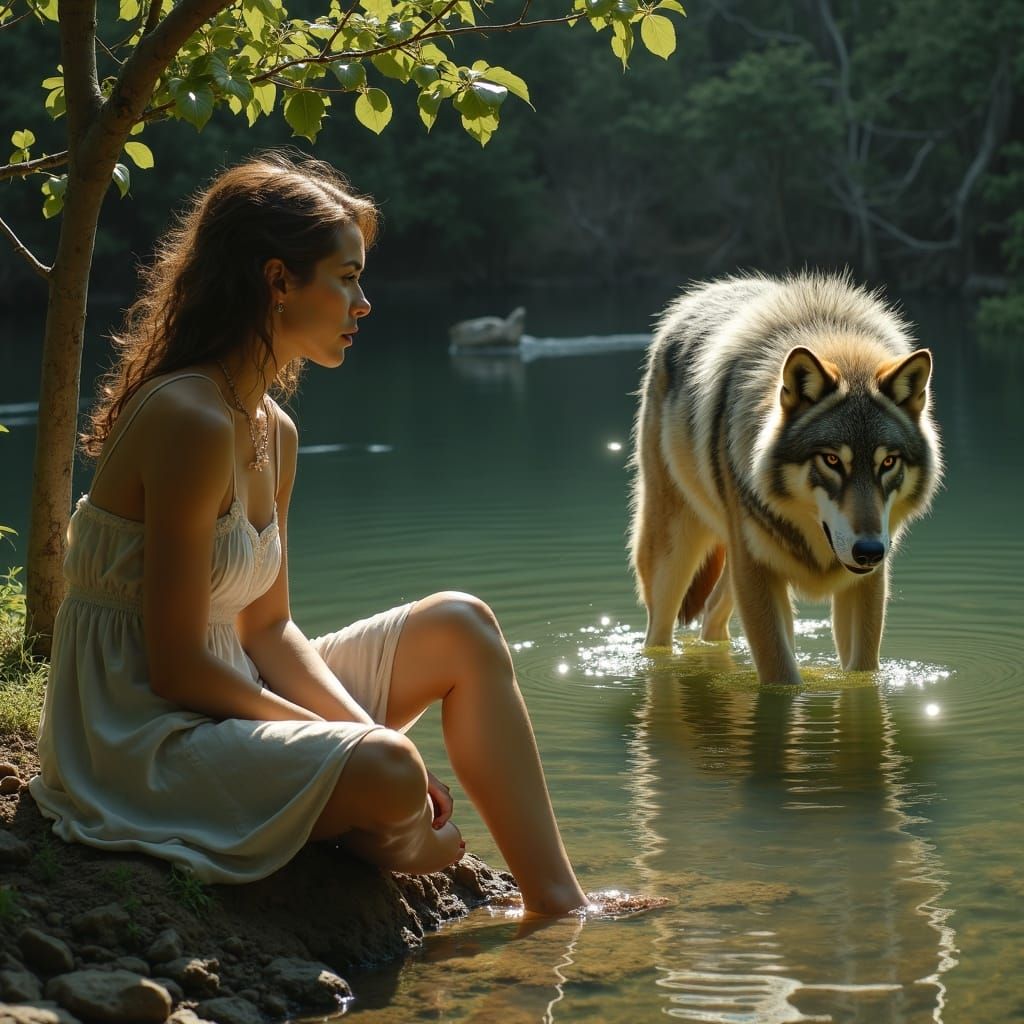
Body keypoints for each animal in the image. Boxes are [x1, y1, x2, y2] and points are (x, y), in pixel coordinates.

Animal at [629, 272, 942, 685]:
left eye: (887, 462)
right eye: (831, 460)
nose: (870, 550)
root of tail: (700, 295)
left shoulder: (865, 582)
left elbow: (862, 673)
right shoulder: (757, 573)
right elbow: (781, 675)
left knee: (712, 612)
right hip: (675, 556)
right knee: (658, 634)